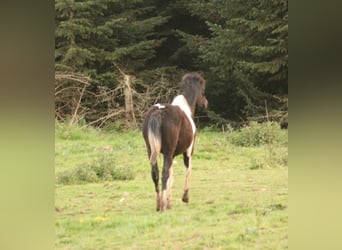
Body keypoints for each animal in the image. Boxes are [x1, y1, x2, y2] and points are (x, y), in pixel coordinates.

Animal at [142, 72, 208, 211]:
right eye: (202, 90)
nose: (206, 103)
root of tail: (159, 112)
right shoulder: (188, 151)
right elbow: (187, 171)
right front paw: (184, 198)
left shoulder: (171, 155)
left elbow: (171, 176)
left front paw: (169, 202)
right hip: (169, 152)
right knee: (164, 174)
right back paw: (162, 206)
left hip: (152, 151)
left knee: (155, 174)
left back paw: (159, 205)